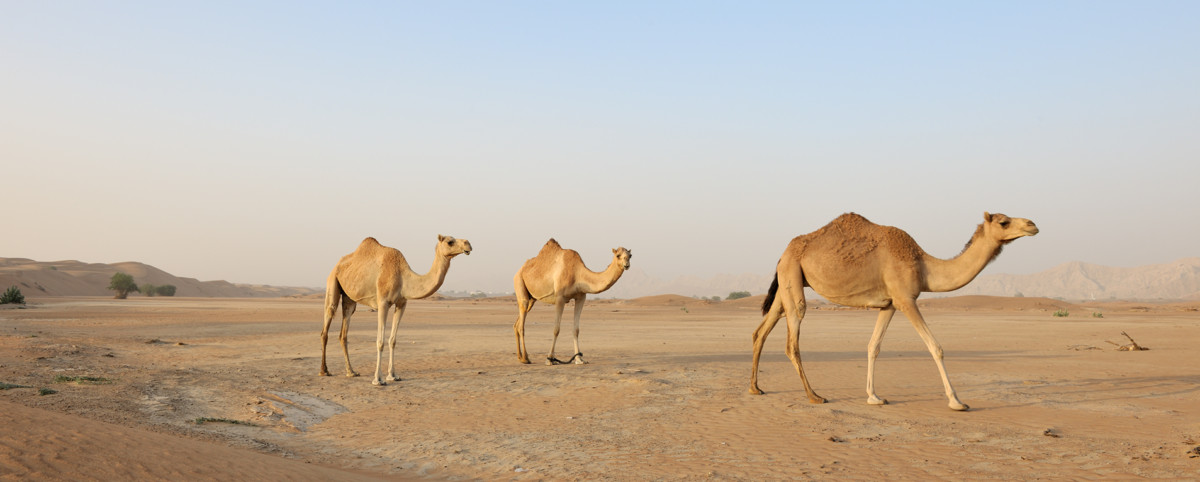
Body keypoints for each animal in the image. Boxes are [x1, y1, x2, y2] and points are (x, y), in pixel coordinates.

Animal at [321, 235, 470, 386]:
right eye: (450, 242)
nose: (468, 245)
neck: (402, 276)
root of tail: (337, 265)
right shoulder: (383, 303)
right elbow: (380, 341)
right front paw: (378, 379)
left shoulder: (401, 303)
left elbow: (393, 340)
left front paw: (393, 375)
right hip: (332, 282)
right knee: (327, 322)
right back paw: (324, 371)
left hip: (349, 297)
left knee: (344, 332)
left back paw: (351, 372)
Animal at [748, 212, 1041, 410]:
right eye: (1003, 222)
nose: (1032, 224)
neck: (923, 265)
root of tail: (784, 253)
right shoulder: (905, 300)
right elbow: (935, 347)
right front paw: (957, 401)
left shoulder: (889, 304)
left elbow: (873, 347)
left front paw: (874, 397)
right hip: (793, 274)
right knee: (792, 339)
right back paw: (814, 396)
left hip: (788, 279)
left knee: (761, 330)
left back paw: (755, 388)